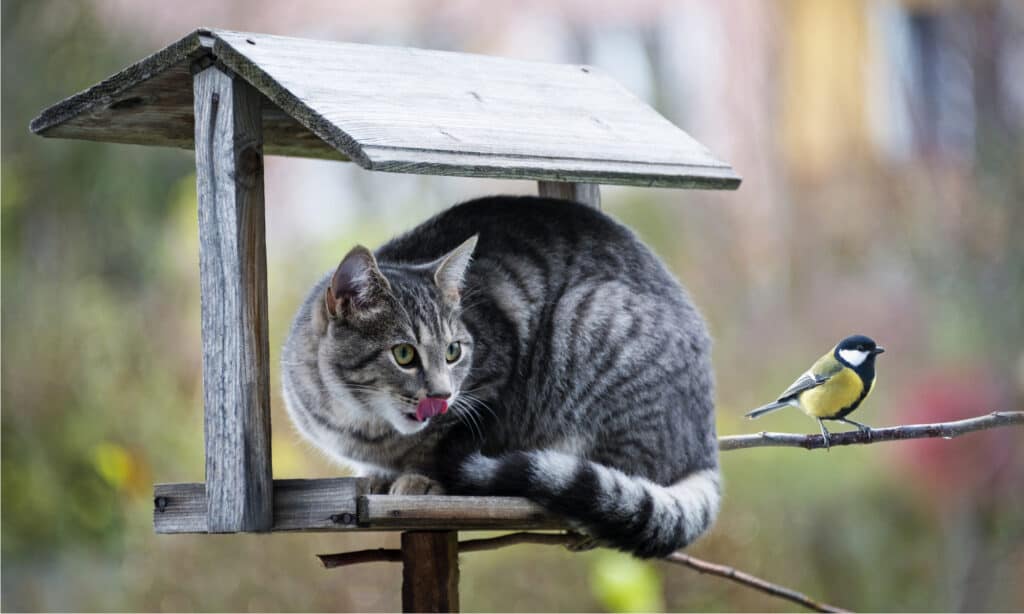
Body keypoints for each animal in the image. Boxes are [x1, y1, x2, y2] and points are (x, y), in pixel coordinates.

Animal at [280, 195, 720, 556]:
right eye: (404, 354)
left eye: (454, 351)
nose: (442, 394)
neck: (362, 425)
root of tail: (705, 442)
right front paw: (376, 477)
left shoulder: (492, 383)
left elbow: (449, 445)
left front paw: (422, 479)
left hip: (591, 319)